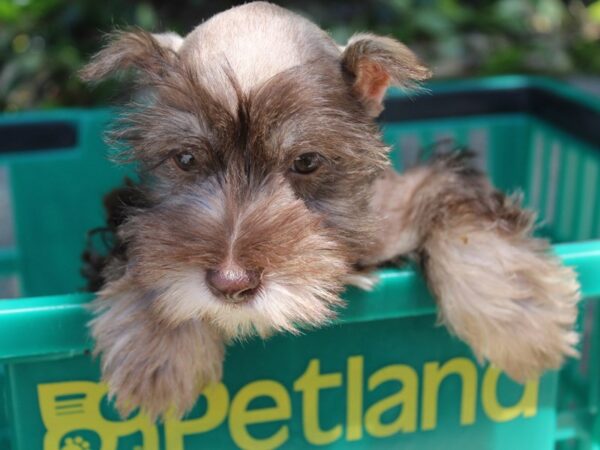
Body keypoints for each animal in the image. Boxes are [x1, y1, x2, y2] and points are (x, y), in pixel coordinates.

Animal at [81, 1, 580, 420]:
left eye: (306, 162)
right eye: (185, 159)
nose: (230, 283)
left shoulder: (410, 195)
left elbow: (455, 203)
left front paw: (520, 316)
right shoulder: (127, 209)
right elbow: (136, 248)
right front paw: (158, 351)